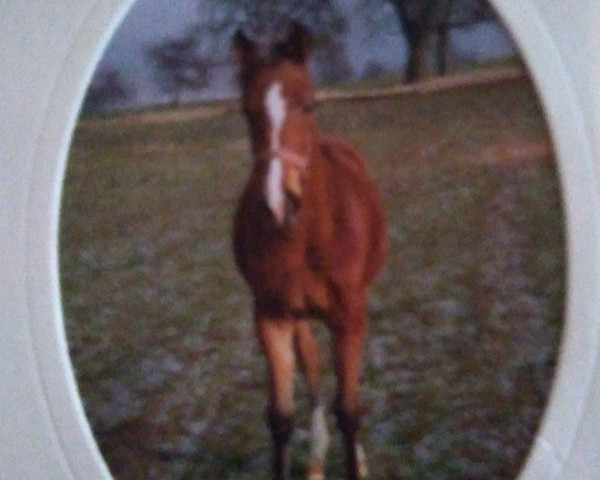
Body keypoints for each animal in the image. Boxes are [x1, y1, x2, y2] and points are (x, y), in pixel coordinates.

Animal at [230, 23, 390, 480]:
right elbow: (281, 417)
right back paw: (317, 459)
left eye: (309, 104)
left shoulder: (350, 315)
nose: (277, 204)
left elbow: (350, 411)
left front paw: (357, 465)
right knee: (314, 369)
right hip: (299, 316)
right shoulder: (271, 316)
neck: (303, 239)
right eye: (247, 112)